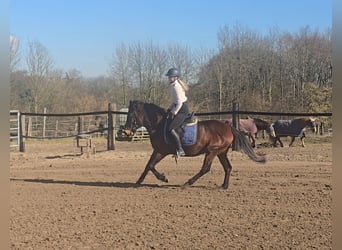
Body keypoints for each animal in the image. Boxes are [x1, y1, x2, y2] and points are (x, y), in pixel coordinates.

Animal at [124, 100, 266, 188]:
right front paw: (138, 181)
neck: (159, 124)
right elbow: (148, 165)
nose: (126, 131)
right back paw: (224, 186)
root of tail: (228, 127)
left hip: (212, 151)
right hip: (221, 152)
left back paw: (188, 183)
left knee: (205, 168)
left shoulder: (162, 151)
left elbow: (151, 166)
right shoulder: (157, 150)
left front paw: (163, 178)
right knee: (228, 167)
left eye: (131, 115)